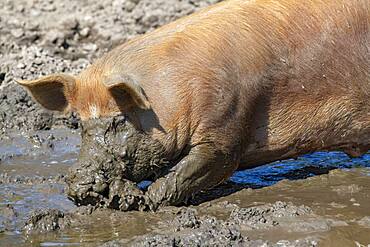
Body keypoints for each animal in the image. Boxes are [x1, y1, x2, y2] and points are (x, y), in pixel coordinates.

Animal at [17, 0, 370, 209]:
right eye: (79, 123)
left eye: (119, 120)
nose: (78, 180)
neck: (171, 97)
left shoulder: (227, 126)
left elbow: (200, 168)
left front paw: (142, 202)